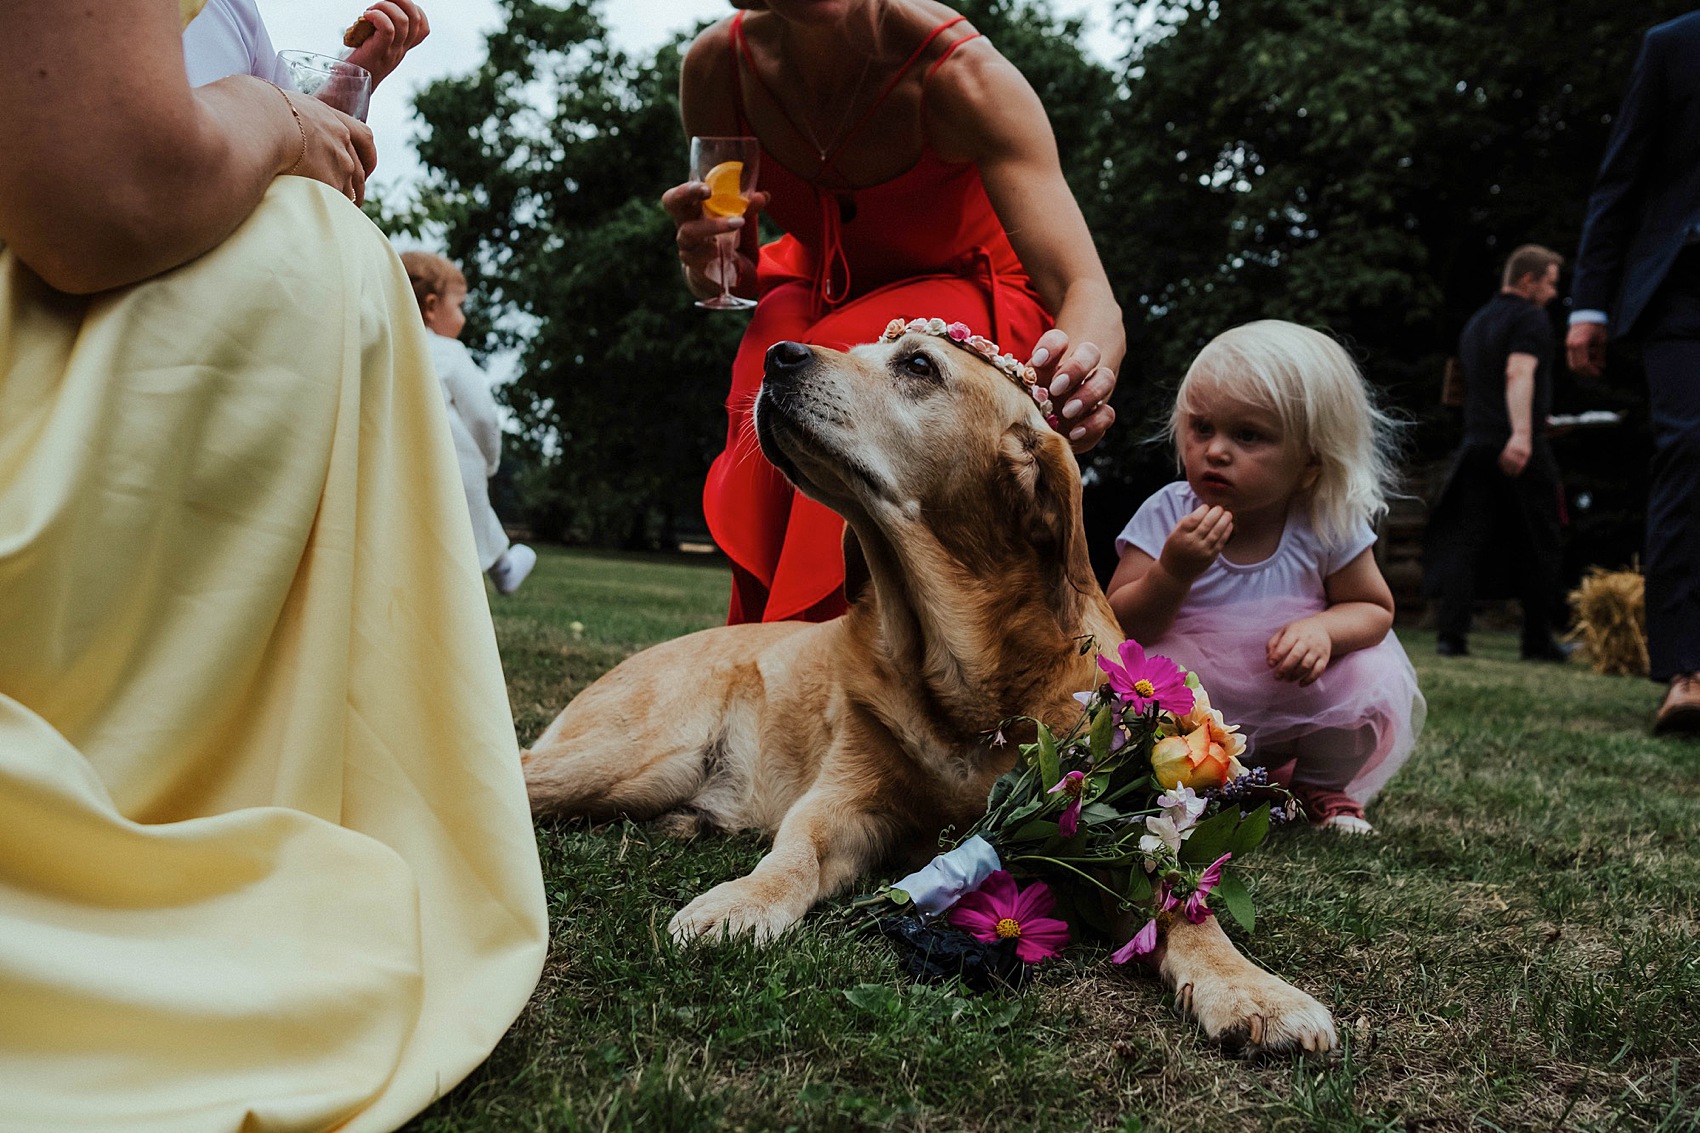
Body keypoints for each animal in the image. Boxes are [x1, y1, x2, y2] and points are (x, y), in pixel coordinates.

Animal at [523, 326, 1332, 1047]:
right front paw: (740, 902)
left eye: (917, 365)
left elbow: (1183, 907)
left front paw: (1255, 989)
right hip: (628, 758)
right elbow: (792, 854)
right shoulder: (842, 803)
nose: (776, 354)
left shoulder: (1112, 831)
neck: (961, 671)